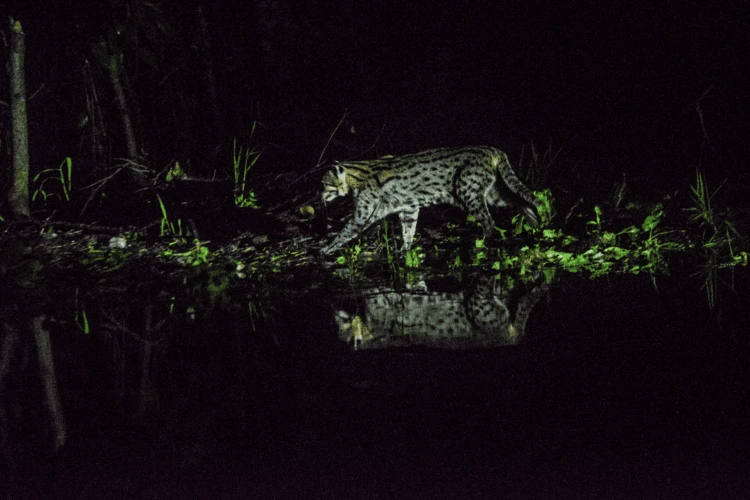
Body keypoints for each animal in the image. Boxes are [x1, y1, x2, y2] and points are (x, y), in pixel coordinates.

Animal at [320, 145, 544, 254]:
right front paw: (405, 249)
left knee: (489, 220)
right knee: (520, 201)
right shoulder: (409, 208)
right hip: (492, 193)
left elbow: (345, 232)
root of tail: (493, 150)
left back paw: (484, 240)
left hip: (468, 192)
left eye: (323, 183)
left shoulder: (363, 213)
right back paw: (534, 222)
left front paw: (326, 248)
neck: (356, 177)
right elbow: (408, 231)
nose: (318, 196)